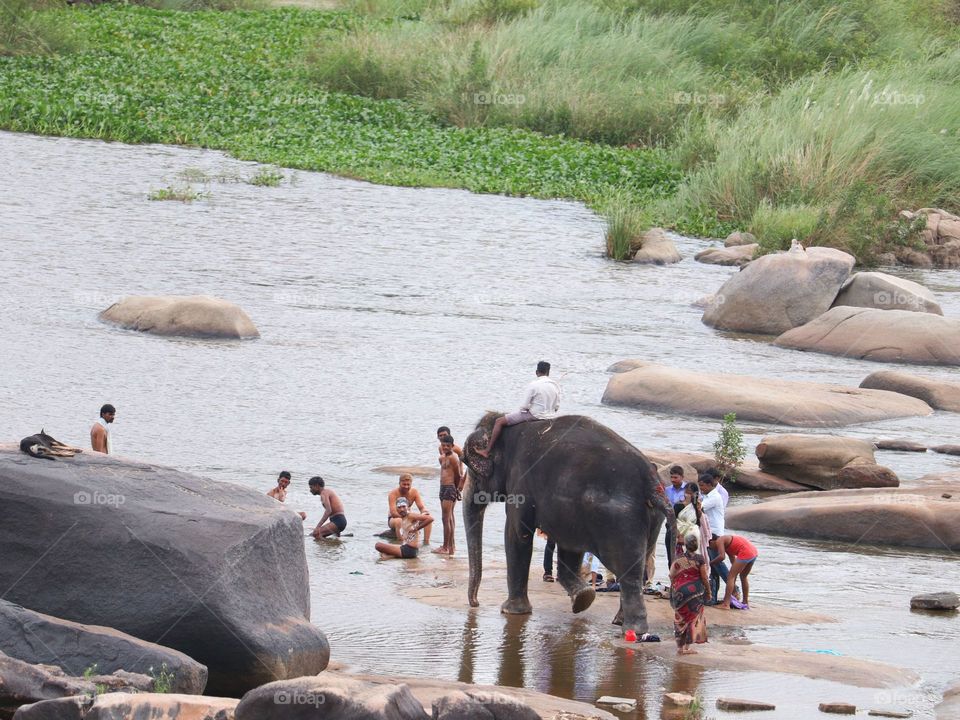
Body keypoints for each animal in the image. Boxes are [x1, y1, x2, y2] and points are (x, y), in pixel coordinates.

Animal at [461, 412, 674, 635]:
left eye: (467, 463)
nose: (475, 603)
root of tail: (651, 481)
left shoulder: (520, 482)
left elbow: (517, 534)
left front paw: (510, 611)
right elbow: (569, 547)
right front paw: (583, 598)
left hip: (619, 521)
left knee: (628, 572)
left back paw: (633, 630)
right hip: (651, 519)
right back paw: (618, 620)